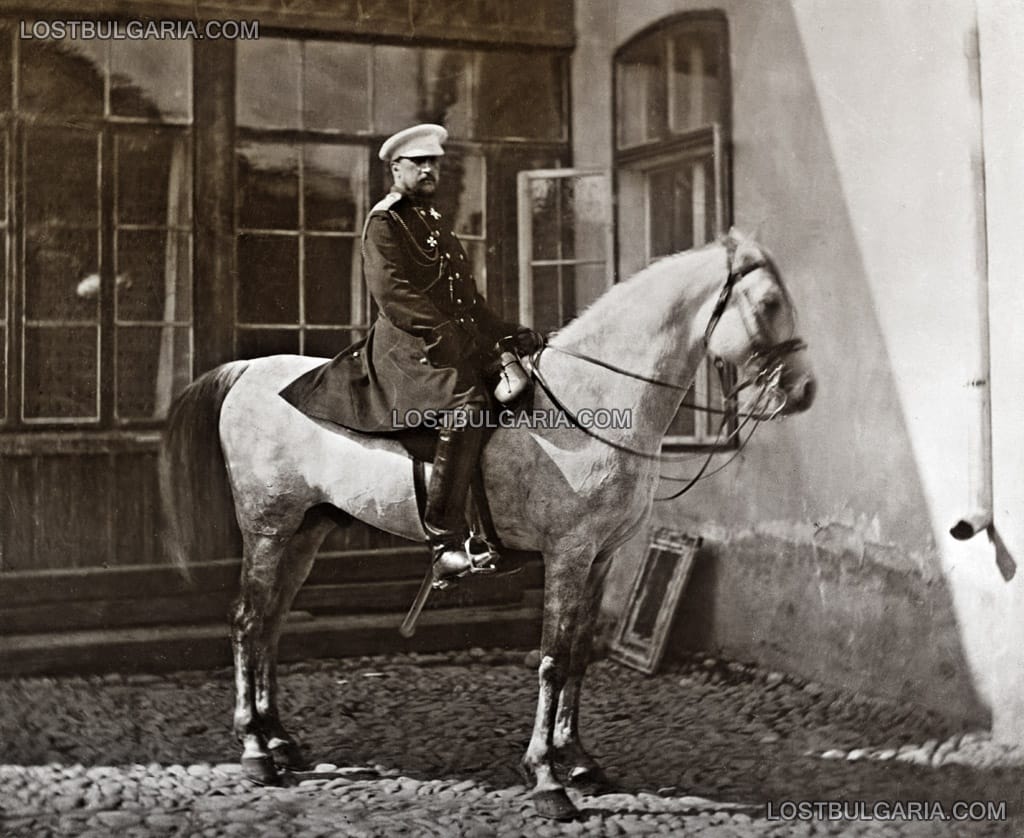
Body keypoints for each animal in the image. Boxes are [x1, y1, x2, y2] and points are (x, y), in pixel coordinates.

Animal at [159, 228, 815, 815]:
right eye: (770, 303)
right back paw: (255, 750)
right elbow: (553, 658)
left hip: (305, 532)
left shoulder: (602, 558)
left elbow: (581, 655)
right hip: (269, 529)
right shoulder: (569, 554)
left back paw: (280, 741)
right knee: (247, 621)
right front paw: (547, 778)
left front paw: (579, 760)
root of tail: (250, 369)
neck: (589, 397)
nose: (805, 390)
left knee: (270, 625)